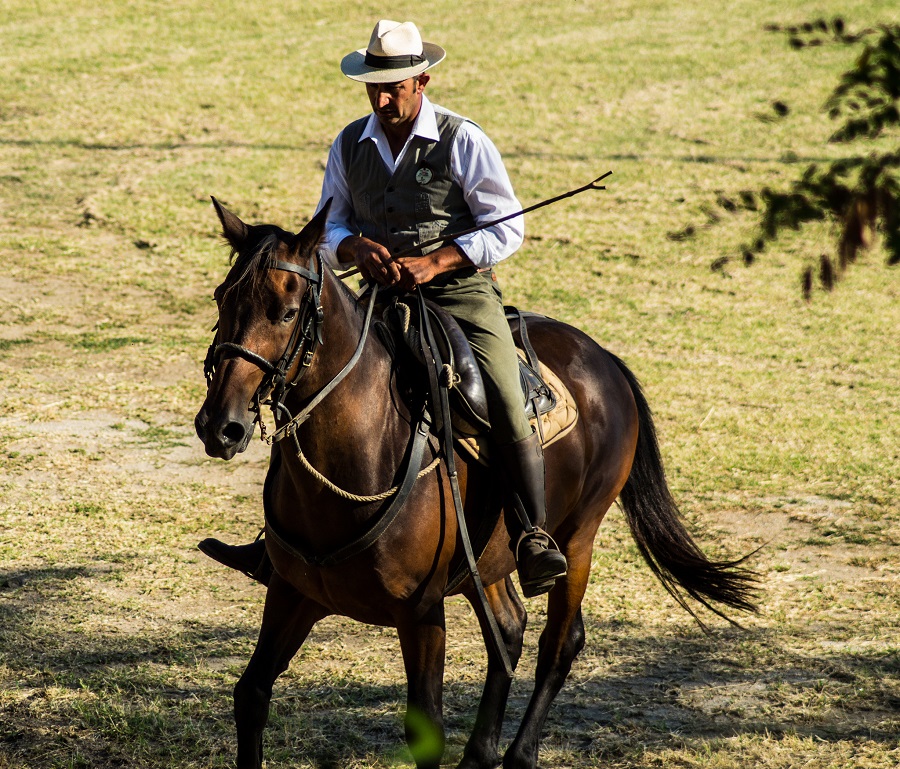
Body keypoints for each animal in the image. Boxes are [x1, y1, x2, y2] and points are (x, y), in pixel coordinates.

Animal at [197, 201, 760, 768]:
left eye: (287, 313)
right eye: (223, 298)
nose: (221, 426)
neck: (365, 448)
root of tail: (605, 359)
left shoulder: (421, 613)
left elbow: (427, 726)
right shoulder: (293, 593)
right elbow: (251, 694)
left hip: (578, 538)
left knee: (560, 643)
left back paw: (519, 753)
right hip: (486, 558)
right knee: (508, 630)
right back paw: (480, 751)